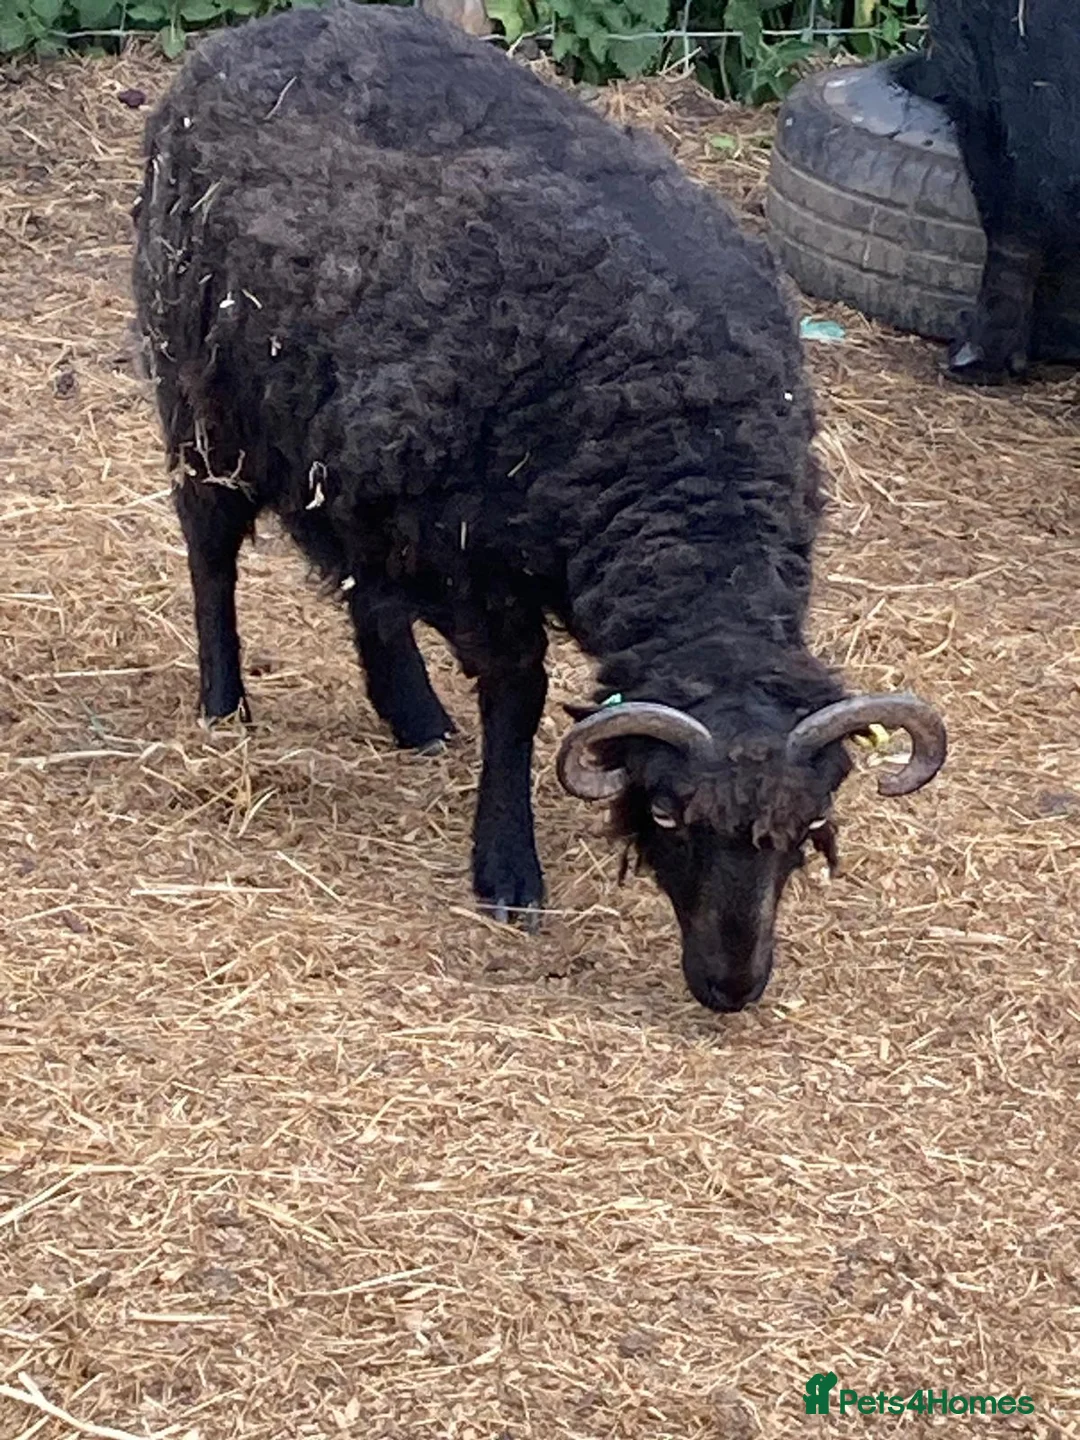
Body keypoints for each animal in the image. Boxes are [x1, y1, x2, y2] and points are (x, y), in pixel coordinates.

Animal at [133, 2, 946, 1013]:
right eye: (666, 814)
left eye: (807, 829)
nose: (730, 988)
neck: (686, 438)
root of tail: (254, 33)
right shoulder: (476, 565)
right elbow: (516, 700)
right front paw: (507, 870)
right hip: (206, 399)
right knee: (210, 548)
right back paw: (224, 706)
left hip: (355, 447)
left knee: (363, 579)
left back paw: (413, 714)